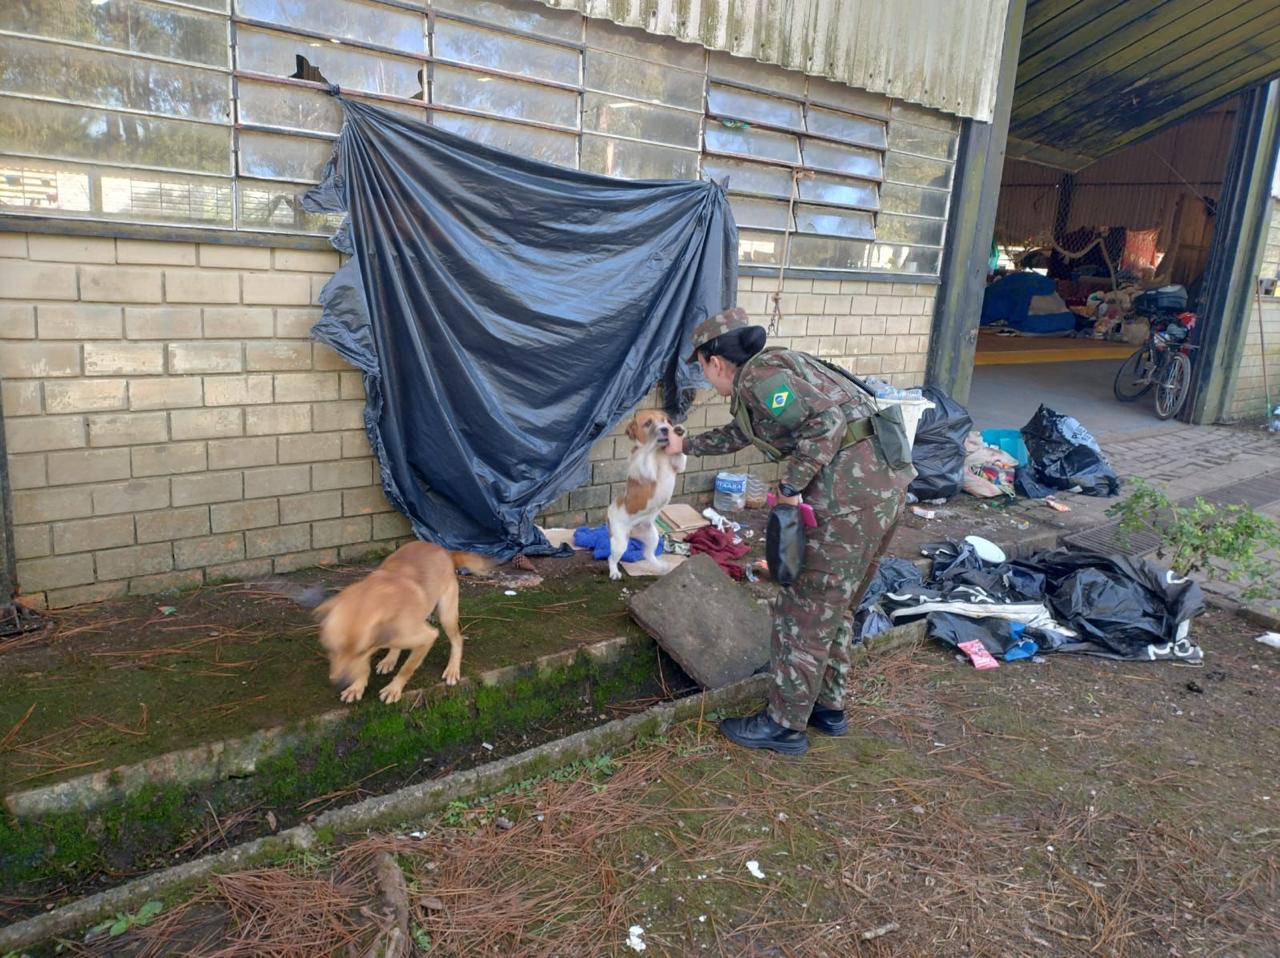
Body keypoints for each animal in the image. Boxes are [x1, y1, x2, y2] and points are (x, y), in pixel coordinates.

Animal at [313, 541, 493, 704]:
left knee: (457, 640)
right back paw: (390, 659)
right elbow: (363, 667)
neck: (371, 598)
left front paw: (394, 689)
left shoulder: (427, 637)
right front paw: (356, 687)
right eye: (331, 648)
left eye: (360, 651)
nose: (340, 683)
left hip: (447, 615)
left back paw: (452, 669)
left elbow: (407, 668)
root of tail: (445, 551)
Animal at [606, 409, 686, 580]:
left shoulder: (678, 465)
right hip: (619, 542)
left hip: (652, 536)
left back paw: (660, 566)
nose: (666, 429)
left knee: (648, 554)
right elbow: (645, 450)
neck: (659, 453)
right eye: (648, 423)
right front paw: (652, 441)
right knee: (611, 558)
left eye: (666, 421)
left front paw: (680, 432)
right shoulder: (645, 468)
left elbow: (680, 455)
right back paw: (614, 572)